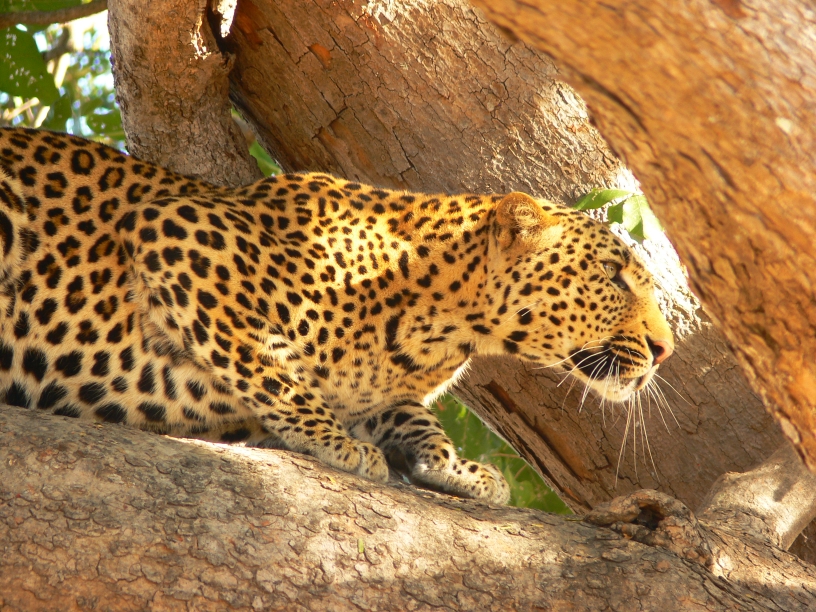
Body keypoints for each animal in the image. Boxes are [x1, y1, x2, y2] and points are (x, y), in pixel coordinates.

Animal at [0, 127, 673, 504]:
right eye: (613, 272)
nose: (665, 348)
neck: (445, 332)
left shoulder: (388, 390)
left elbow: (415, 418)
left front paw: (456, 468)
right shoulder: (175, 233)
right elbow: (269, 363)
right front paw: (332, 441)